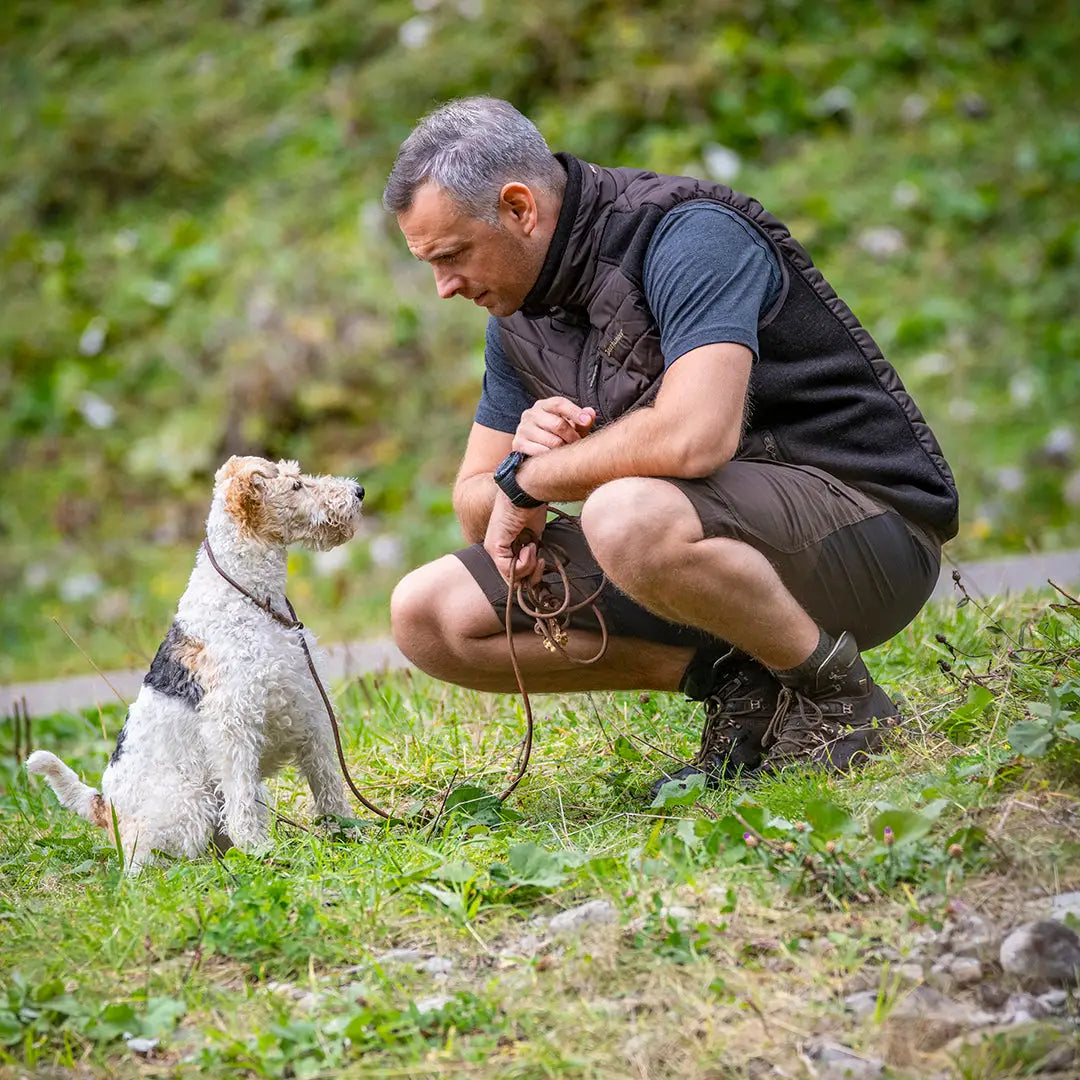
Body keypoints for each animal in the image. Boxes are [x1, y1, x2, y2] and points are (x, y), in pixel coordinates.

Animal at [27, 453, 365, 868]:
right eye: (296, 485)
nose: (358, 491)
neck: (248, 596)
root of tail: (104, 807)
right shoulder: (233, 725)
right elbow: (242, 801)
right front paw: (259, 850)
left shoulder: (310, 709)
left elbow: (328, 782)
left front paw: (346, 832)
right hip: (189, 804)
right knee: (150, 864)